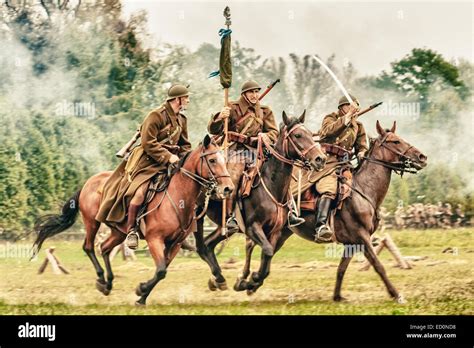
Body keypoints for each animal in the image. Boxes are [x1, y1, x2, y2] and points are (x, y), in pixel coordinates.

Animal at [30, 135, 234, 306]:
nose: (228, 188)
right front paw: (141, 290)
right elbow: (161, 270)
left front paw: (142, 295)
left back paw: (107, 284)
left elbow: (162, 270)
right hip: (92, 222)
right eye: (212, 160)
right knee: (89, 247)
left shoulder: (175, 244)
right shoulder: (154, 240)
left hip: (118, 232)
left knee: (104, 248)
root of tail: (88, 182)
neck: (177, 197)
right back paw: (101, 279)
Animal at [194, 111, 328, 290]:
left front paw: (249, 281)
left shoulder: (275, 231)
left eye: (310, 134)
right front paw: (250, 279)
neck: (271, 186)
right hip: (197, 217)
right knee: (201, 246)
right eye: (298, 135)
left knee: (208, 244)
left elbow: (267, 256)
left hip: (225, 228)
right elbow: (267, 251)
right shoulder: (252, 227)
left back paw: (217, 279)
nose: (320, 159)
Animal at [232, 121, 426, 300]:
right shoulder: (362, 237)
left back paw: (250, 283)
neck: (363, 190)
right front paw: (395, 294)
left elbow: (341, 269)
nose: (422, 157)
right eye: (395, 141)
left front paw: (337, 296)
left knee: (263, 250)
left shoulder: (352, 243)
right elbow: (378, 266)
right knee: (251, 245)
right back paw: (244, 280)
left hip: (281, 233)